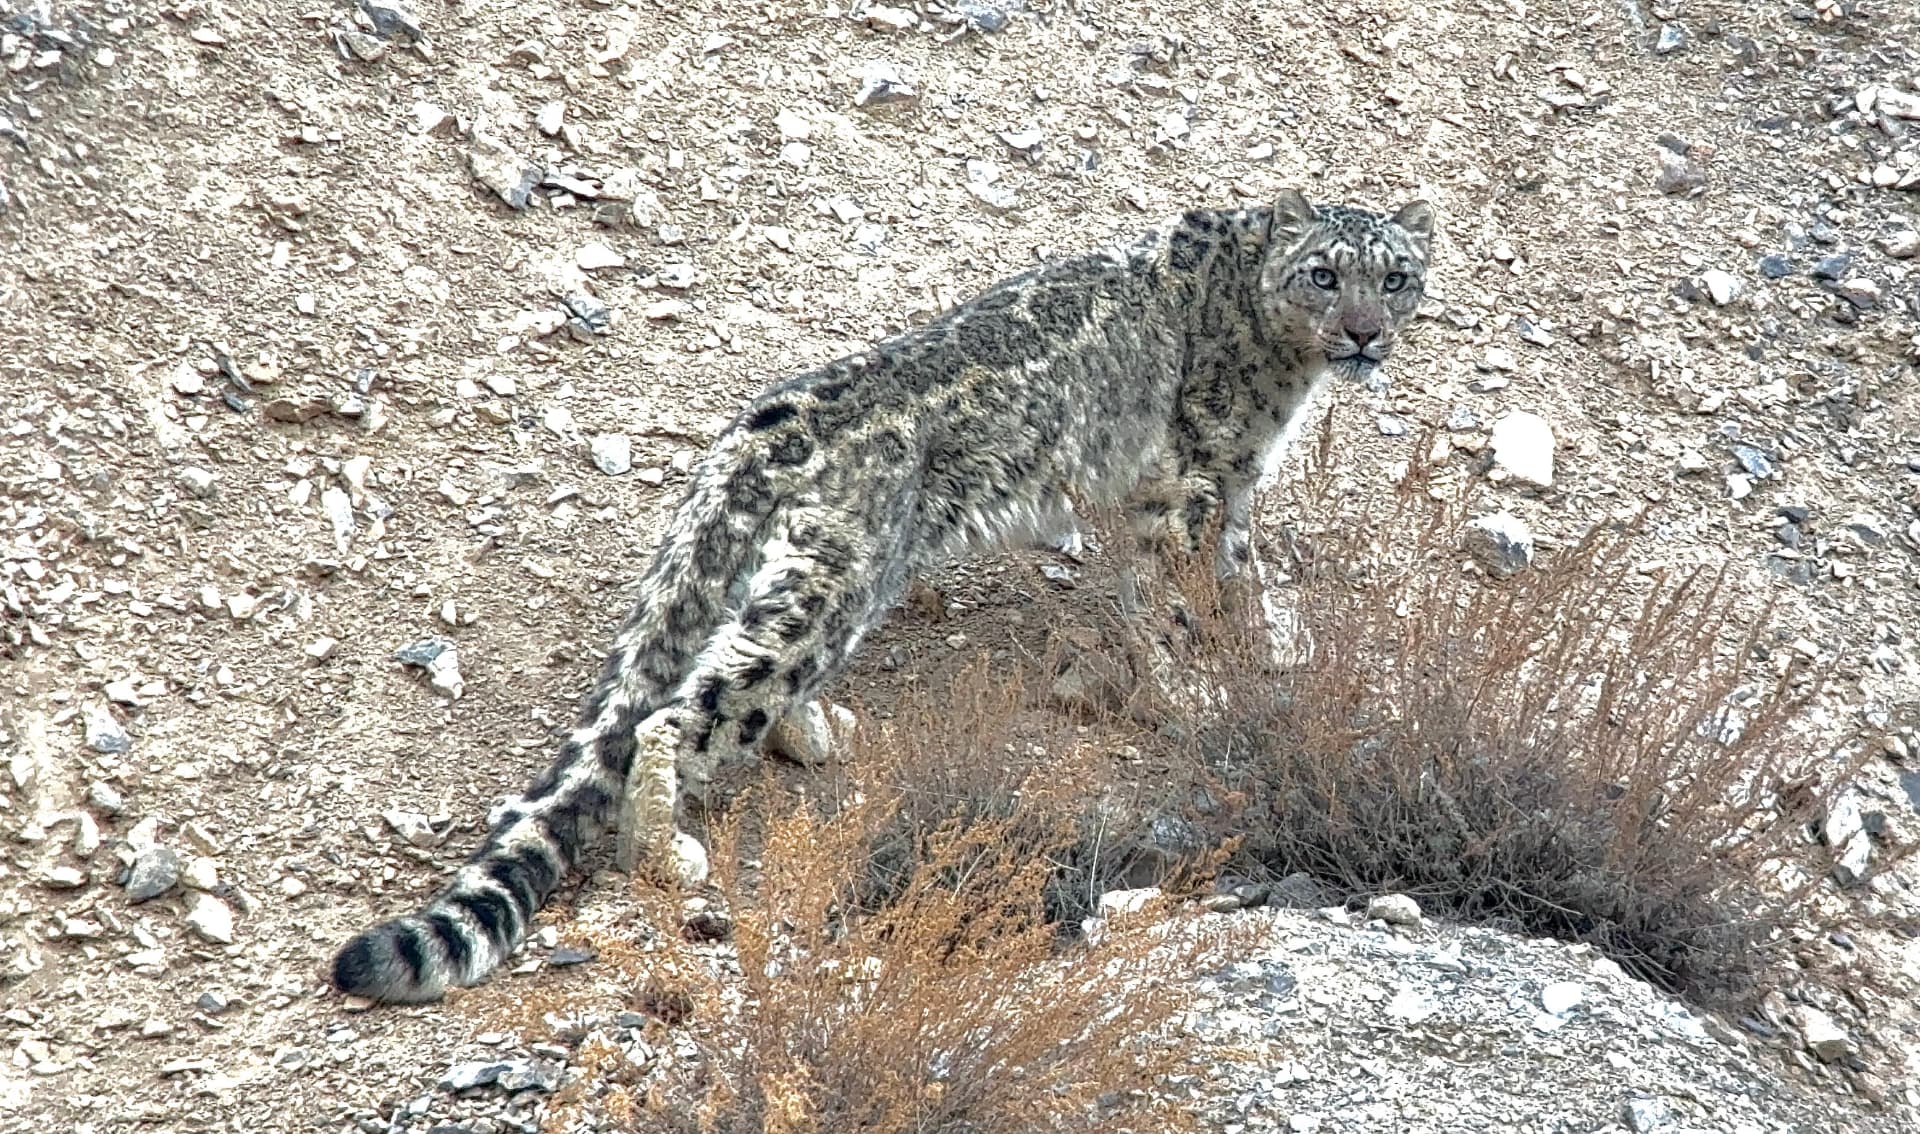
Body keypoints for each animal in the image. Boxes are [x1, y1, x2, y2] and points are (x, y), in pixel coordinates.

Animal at [329, 189, 1436, 1002]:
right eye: (1324, 273)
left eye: (1396, 275)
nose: (1365, 334)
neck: (1280, 377)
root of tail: (766, 425)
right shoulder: (1193, 482)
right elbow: (1177, 598)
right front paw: (1200, 685)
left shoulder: (1223, 490)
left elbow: (1229, 577)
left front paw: (1263, 649)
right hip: (835, 584)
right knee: (687, 711)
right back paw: (669, 850)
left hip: (807, 585)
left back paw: (815, 730)